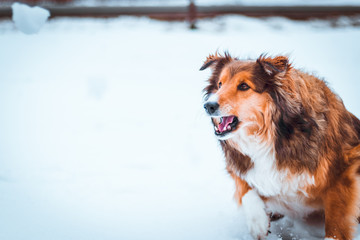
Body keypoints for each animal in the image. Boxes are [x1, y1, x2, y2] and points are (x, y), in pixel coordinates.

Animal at [200, 53, 360, 240]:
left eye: (244, 86)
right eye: (220, 84)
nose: (208, 106)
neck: (271, 137)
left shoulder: (344, 171)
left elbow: (335, 224)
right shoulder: (241, 166)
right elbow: (245, 188)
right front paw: (258, 223)